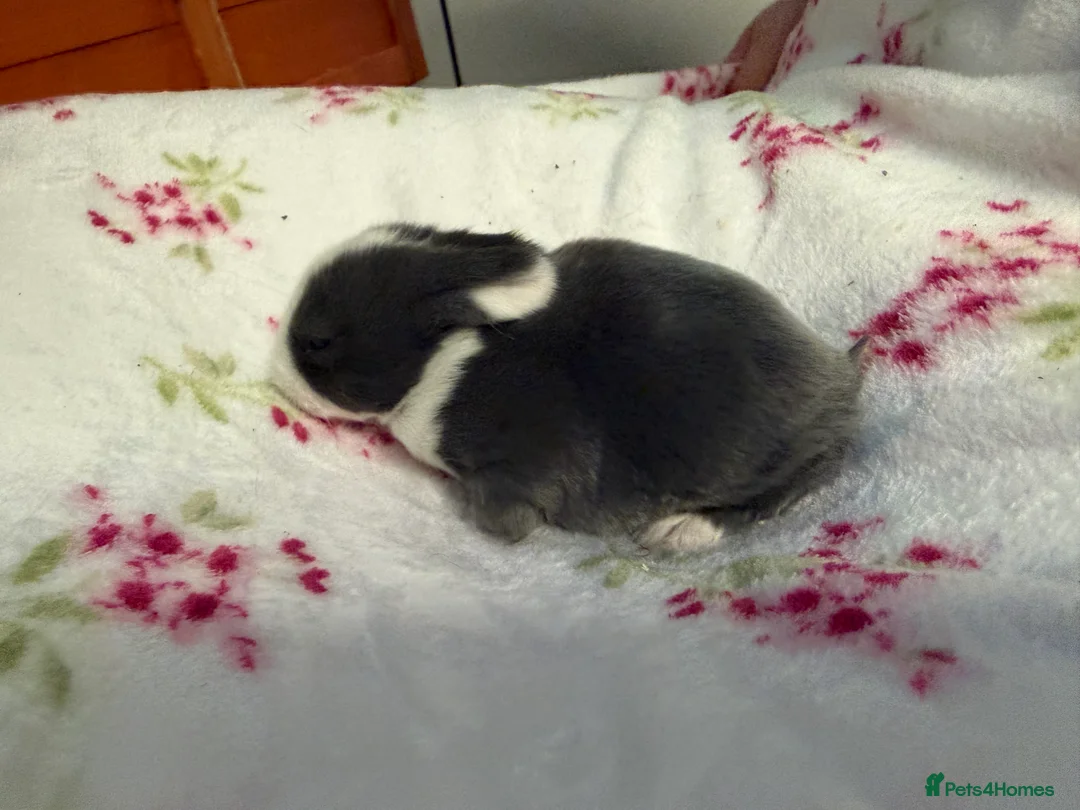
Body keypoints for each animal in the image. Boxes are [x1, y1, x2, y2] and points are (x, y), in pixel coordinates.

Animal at [271, 222, 867, 554]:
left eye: (317, 342)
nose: (272, 377)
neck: (444, 353)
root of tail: (843, 382)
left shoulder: (512, 470)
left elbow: (505, 516)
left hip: (769, 463)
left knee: (785, 489)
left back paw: (682, 530)